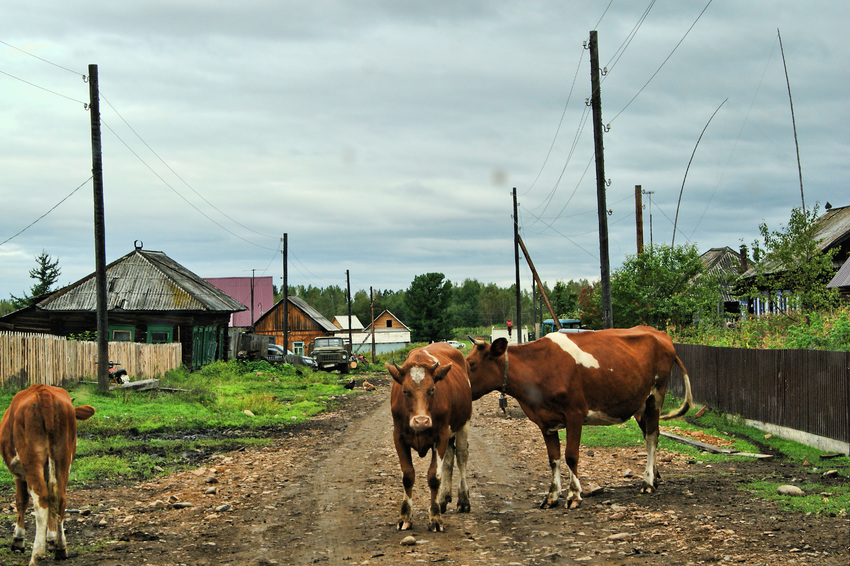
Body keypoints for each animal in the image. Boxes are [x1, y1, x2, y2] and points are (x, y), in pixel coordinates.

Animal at [0, 384, 95, 564]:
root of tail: (44, 392)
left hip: (31, 460)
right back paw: (61, 548)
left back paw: (36, 555)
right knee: (59, 498)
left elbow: (21, 501)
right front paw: (52, 538)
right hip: (62, 457)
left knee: (42, 499)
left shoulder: (19, 474)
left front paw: (18, 540)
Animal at [388, 344, 474, 536]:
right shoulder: (398, 436)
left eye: (432, 389)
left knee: (461, 457)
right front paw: (405, 517)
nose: (421, 421)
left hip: (463, 423)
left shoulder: (440, 436)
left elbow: (434, 476)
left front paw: (435, 518)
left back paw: (463, 500)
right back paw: (443, 499)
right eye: (405, 391)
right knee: (449, 460)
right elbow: (407, 476)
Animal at [464, 328, 688, 510]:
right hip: (639, 404)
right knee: (649, 434)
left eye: (471, 363)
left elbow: (571, 456)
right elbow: (553, 459)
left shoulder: (574, 414)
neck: (538, 367)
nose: (462, 387)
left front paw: (573, 495)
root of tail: (659, 333)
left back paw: (648, 483)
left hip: (655, 397)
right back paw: (655, 477)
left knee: (652, 437)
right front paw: (551, 496)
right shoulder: (545, 422)